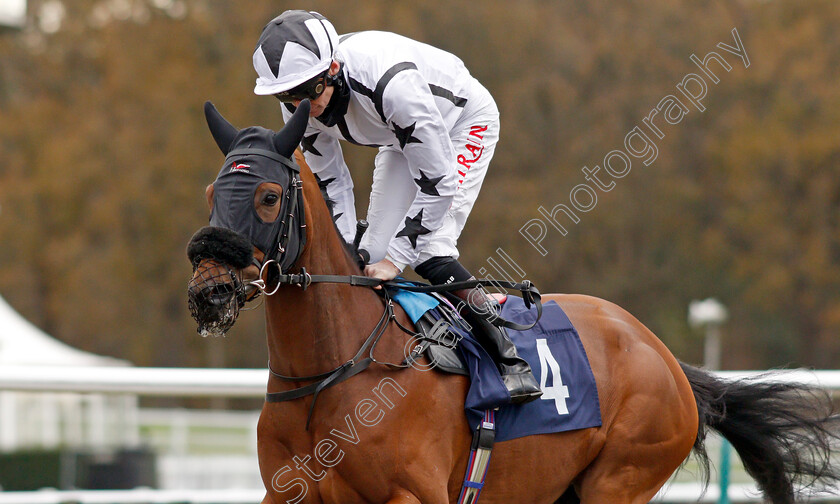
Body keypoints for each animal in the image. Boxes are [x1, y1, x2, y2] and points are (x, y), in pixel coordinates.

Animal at [187, 99, 836, 504]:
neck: (331, 371)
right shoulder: (286, 493)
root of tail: (668, 359)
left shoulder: (411, 495)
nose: (209, 293)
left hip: (621, 478)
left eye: (269, 196)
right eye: (212, 191)